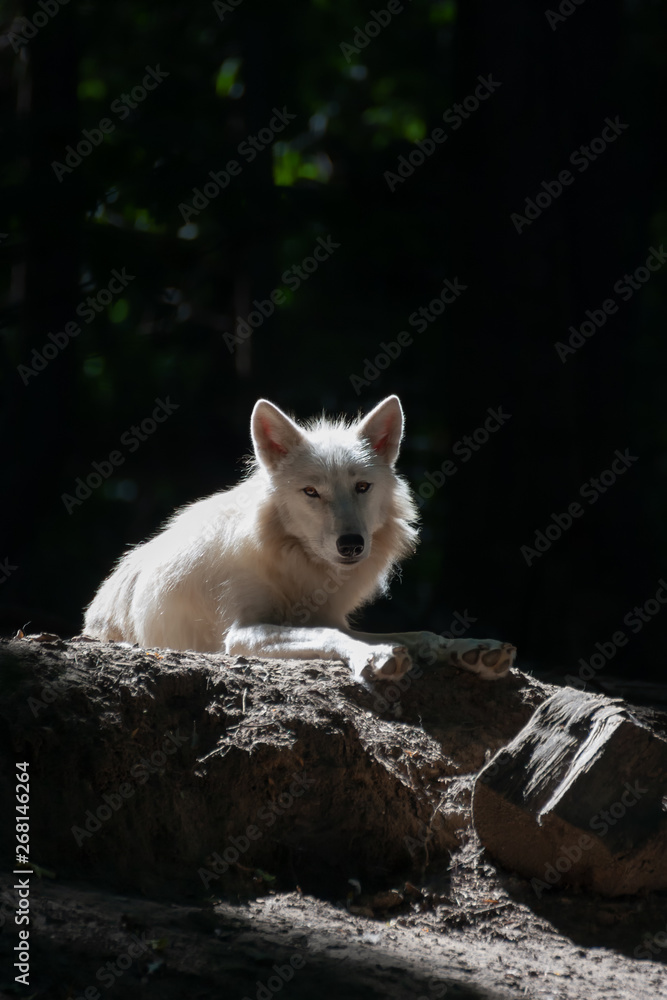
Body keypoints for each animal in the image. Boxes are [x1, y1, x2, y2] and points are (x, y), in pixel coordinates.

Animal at [84, 395, 516, 682]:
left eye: (362, 487)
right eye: (311, 492)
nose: (351, 545)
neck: (293, 563)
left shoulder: (328, 614)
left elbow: (416, 633)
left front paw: (470, 649)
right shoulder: (241, 634)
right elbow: (330, 635)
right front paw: (374, 656)